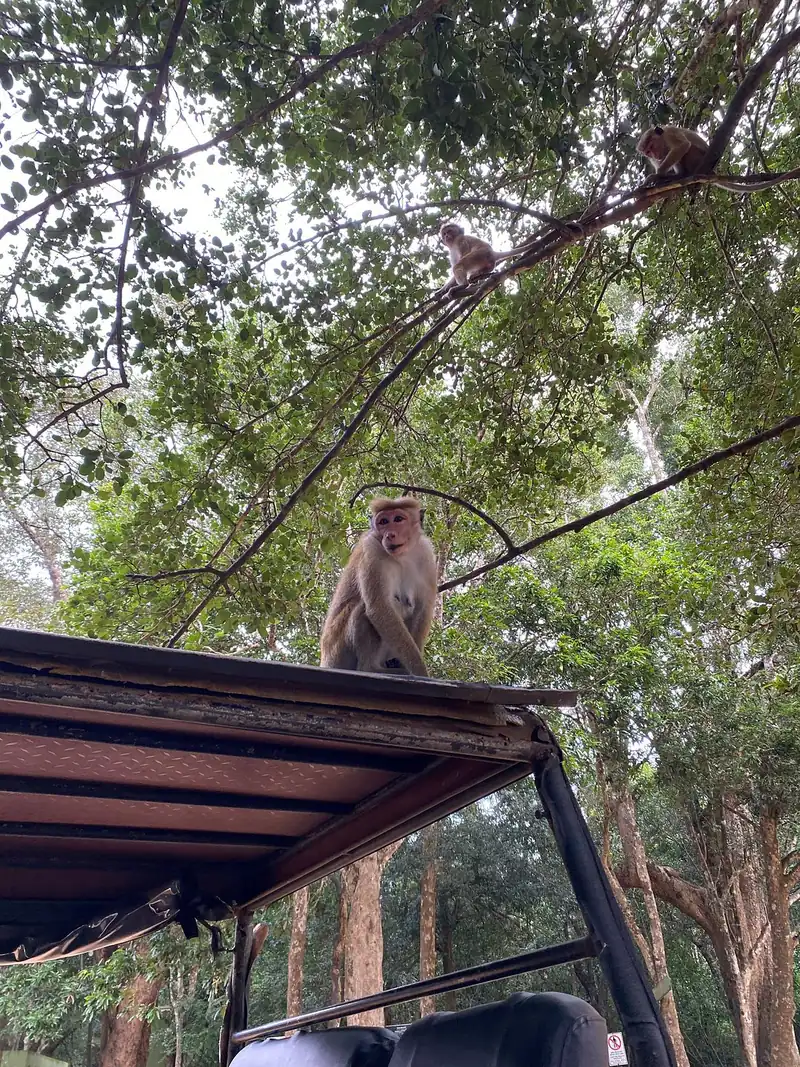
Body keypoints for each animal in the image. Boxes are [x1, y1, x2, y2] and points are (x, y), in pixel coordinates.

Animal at [320, 496, 438, 677]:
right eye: (383, 521)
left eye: (398, 519)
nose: (389, 534)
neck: (402, 556)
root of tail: (325, 661)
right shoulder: (372, 551)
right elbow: (379, 607)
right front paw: (420, 671)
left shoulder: (425, 553)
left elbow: (422, 607)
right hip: (337, 650)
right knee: (365, 607)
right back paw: (371, 668)